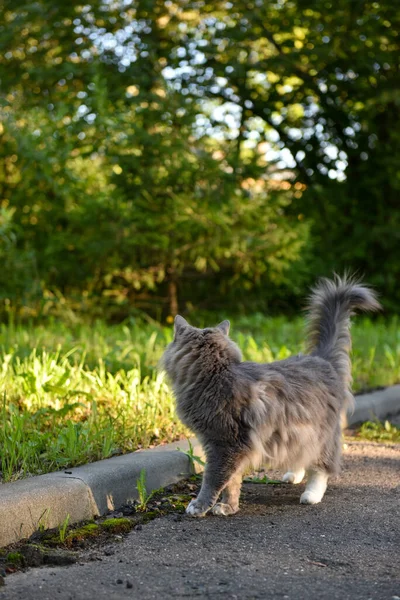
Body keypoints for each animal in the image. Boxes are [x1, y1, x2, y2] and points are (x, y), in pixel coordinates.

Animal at [160, 276, 382, 516]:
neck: (215, 375)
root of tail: (321, 359)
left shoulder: (224, 445)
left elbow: (213, 479)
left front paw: (199, 506)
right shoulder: (230, 448)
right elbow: (232, 482)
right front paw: (229, 507)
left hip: (320, 434)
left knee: (321, 468)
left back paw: (311, 495)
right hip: (295, 434)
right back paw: (293, 475)